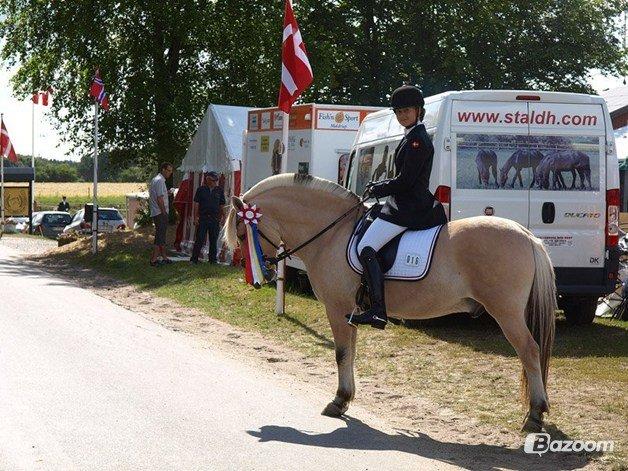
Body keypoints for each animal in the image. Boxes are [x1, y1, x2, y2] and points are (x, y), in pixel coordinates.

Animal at [224, 175, 556, 434]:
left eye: (243, 232)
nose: (261, 277)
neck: (332, 234)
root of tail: (527, 235)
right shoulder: (350, 312)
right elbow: (350, 353)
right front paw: (347, 398)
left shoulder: (336, 308)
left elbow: (341, 353)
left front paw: (338, 400)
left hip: (507, 313)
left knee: (530, 351)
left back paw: (535, 415)